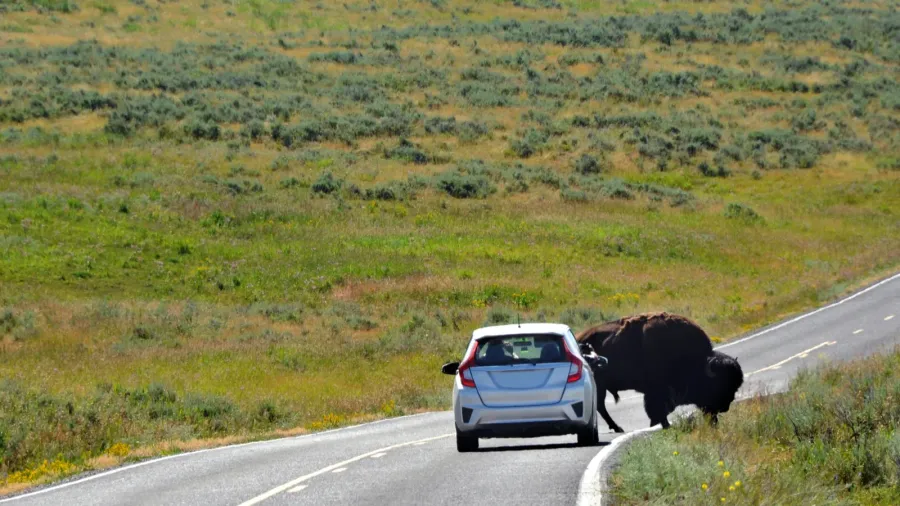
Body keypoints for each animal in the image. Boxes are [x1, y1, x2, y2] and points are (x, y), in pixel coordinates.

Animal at [577, 312, 743, 432]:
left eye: (735, 386)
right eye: (719, 383)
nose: (726, 406)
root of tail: (580, 338)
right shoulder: (657, 391)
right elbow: (657, 409)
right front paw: (662, 425)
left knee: (600, 406)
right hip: (600, 387)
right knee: (600, 406)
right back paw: (618, 428)